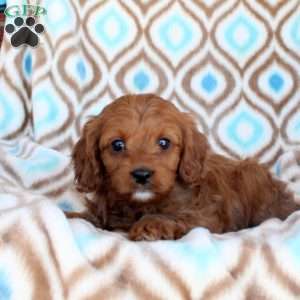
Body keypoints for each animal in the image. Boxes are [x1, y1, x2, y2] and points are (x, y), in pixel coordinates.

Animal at [67, 95, 298, 240]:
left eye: (164, 143)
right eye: (117, 145)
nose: (142, 174)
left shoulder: (207, 214)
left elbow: (179, 216)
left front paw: (151, 224)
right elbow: (92, 218)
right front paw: (70, 216)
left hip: (251, 175)